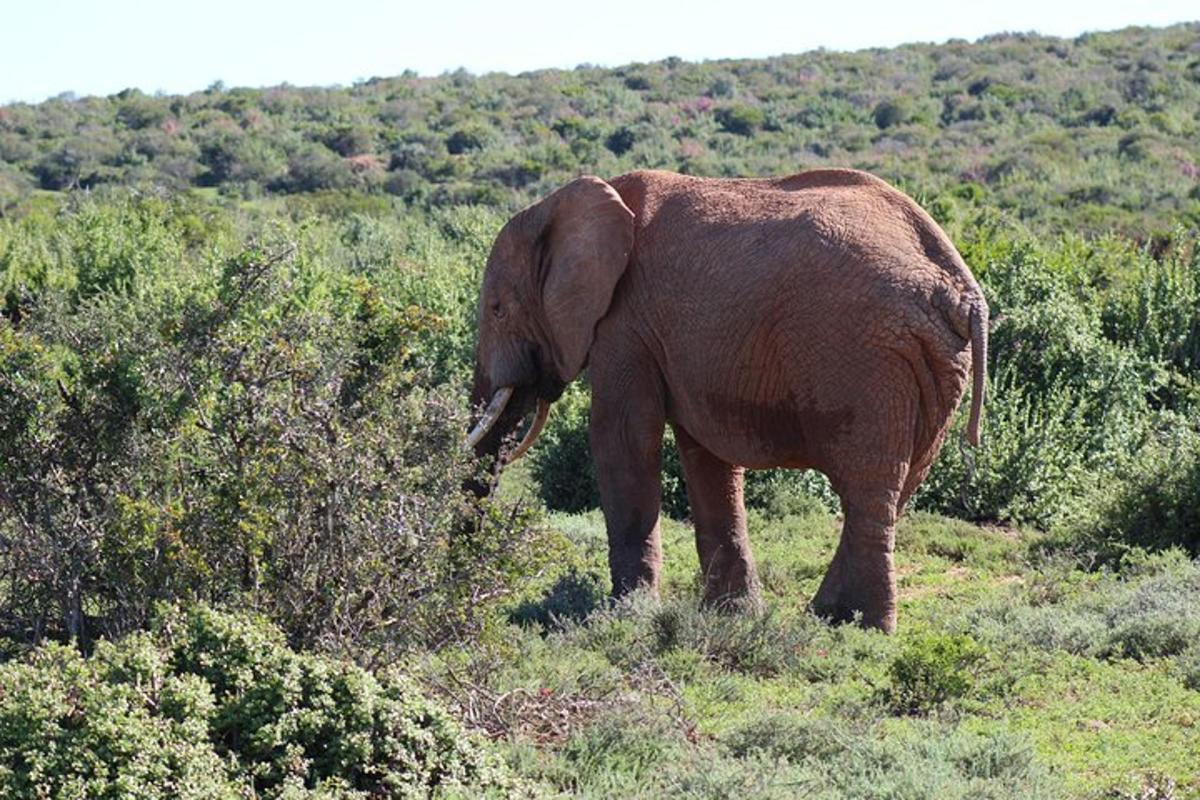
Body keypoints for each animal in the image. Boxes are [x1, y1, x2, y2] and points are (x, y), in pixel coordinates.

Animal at [465, 169, 984, 633]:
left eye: (497, 309)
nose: (477, 582)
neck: (561, 205)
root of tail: (960, 288)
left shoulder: (624, 322)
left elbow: (622, 438)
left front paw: (626, 615)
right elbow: (704, 455)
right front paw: (733, 615)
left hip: (870, 358)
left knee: (869, 488)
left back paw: (859, 628)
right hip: (932, 363)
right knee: (896, 488)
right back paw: (827, 618)